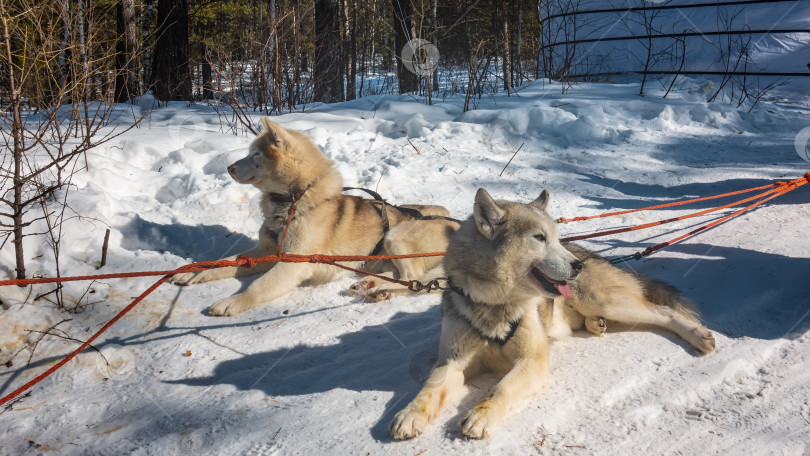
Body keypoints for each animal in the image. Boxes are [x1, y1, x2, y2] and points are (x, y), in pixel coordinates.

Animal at [170, 117, 458, 316]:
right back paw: (368, 284)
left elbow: (258, 287)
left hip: (395, 236)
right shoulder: (266, 250)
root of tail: (455, 223)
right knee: (400, 275)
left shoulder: (292, 263)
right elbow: (223, 262)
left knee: (415, 279)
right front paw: (192, 274)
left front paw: (232, 302)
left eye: (255, 154)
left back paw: (383, 290)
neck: (292, 202)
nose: (229, 167)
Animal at [392, 188, 712, 438]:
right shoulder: (453, 362)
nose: (577, 266)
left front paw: (482, 414)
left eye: (556, 239)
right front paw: (410, 413)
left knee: (663, 312)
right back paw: (596, 324)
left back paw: (697, 335)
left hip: (607, 302)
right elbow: (428, 389)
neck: (495, 302)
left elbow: (501, 388)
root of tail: (590, 254)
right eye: (539, 237)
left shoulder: (531, 360)